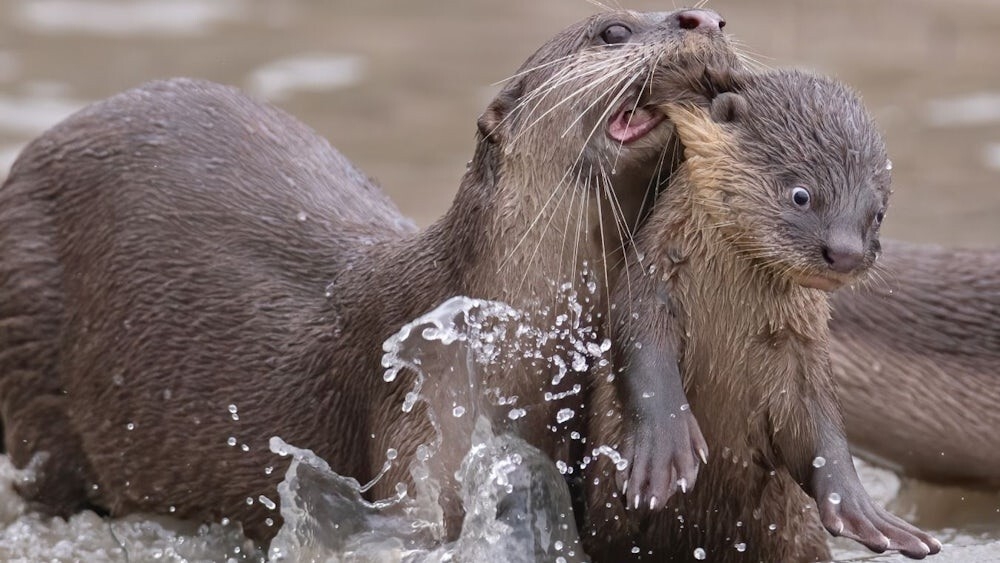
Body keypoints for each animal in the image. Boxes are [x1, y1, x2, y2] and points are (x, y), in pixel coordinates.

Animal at [584, 69, 940, 560]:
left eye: (878, 213)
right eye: (801, 195)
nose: (846, 253)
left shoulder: (801, 347)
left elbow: (820, 425)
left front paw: (862, 510)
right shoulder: (650, 286)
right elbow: (642, 355)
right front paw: (664, 451)